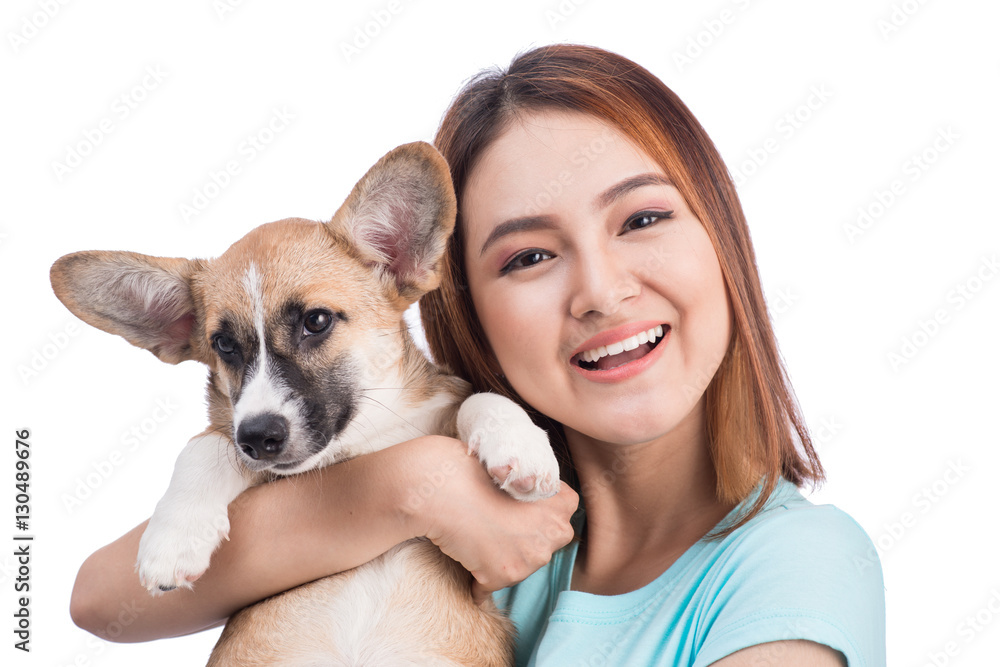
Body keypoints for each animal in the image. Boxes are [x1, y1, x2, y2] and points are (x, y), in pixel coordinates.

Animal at [50, 144, 564, 664]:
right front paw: (173, 539)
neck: (357, 444)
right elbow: (204, 445)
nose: (258, 438)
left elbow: (479, 396)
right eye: (223, 345)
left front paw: (521, 447)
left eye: (316, 321)